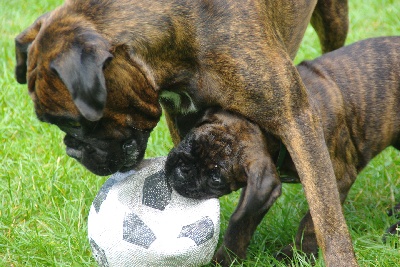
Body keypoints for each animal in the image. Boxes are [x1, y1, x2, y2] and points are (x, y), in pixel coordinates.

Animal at [14, 0, 354, 267]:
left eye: (71, 122)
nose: (71, 149)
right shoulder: (182, 118)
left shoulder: (295, 119)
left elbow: (327, 217)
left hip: (334, 20)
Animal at [165, 36, 400, 264]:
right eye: (191, 142)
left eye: (216, 179)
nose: (183, 171)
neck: (269, 132)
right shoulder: (256, 190)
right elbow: (241, 224)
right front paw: (225, 259)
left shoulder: (334, 177)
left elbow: (313, 222)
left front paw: (299, 253)